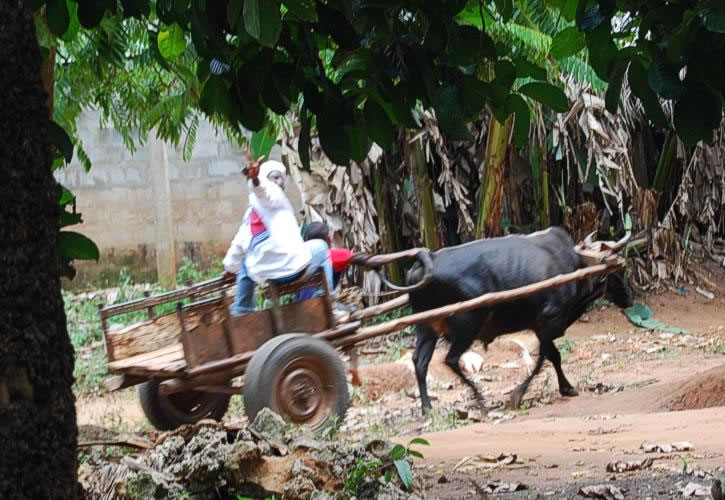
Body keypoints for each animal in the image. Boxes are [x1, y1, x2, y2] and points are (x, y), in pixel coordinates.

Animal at [402, 227, 634, 414]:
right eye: (616, 270)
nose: (630, 297)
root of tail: (426, 261)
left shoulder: (541, 327)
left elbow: (552, 357)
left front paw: (566, 387)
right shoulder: (548, 322)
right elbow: (546, 358)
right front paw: (518, 395)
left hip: (427, 327)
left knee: (420, 362)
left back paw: (427, 407)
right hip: (468, 324)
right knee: (450, 359)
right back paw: (480, 399)